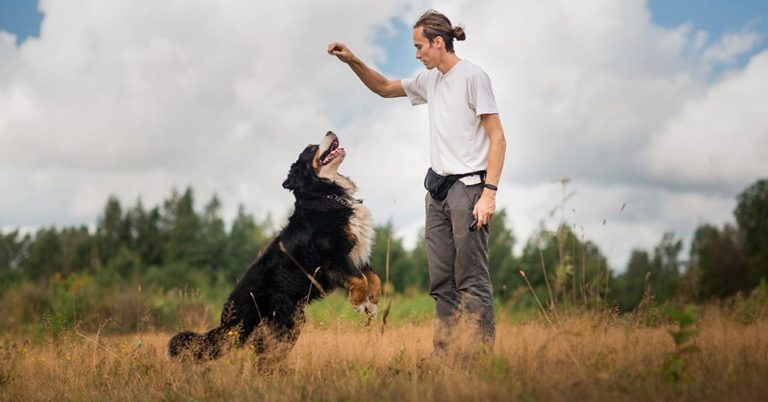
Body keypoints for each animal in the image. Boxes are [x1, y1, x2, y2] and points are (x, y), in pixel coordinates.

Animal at [170, 132, 382, 362]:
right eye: (311, 148)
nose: (330, 132)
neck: (325, 195)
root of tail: (227, 316)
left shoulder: (356, 253)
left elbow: (374, 278)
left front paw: (372, 302)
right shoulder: (333, 256)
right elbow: (359, 279)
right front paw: (359, 302)